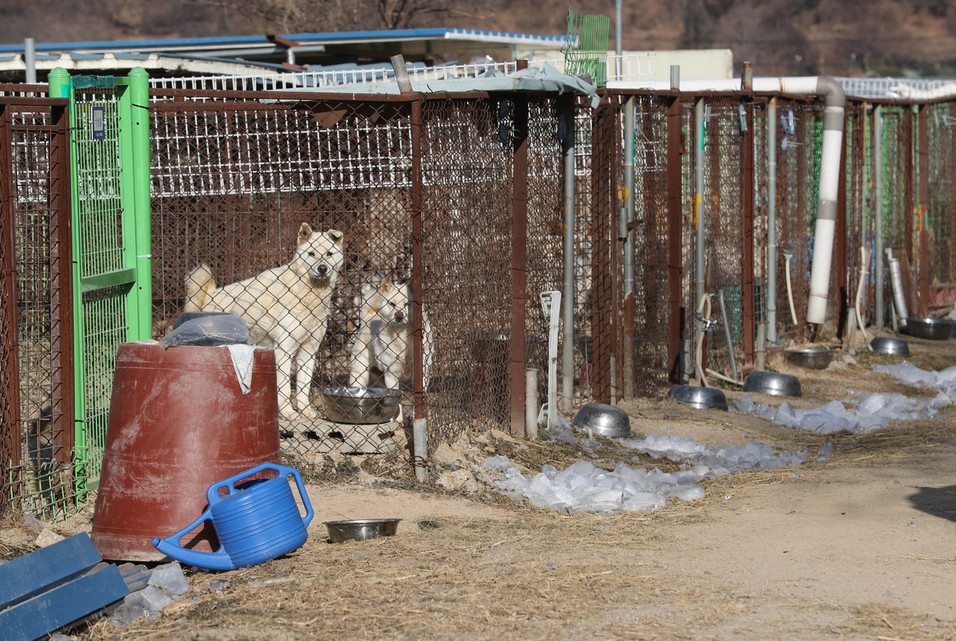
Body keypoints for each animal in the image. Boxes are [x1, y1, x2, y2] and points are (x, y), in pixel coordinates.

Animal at [185, 222, 346, 418]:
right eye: (311, 253)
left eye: (329, 254)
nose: (322, 268)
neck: (309, 292)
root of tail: (209, 296)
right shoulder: (284, 350)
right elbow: (284, 388)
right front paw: (287, 412)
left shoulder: (308, 352)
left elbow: (303, 387)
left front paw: (306, 411)